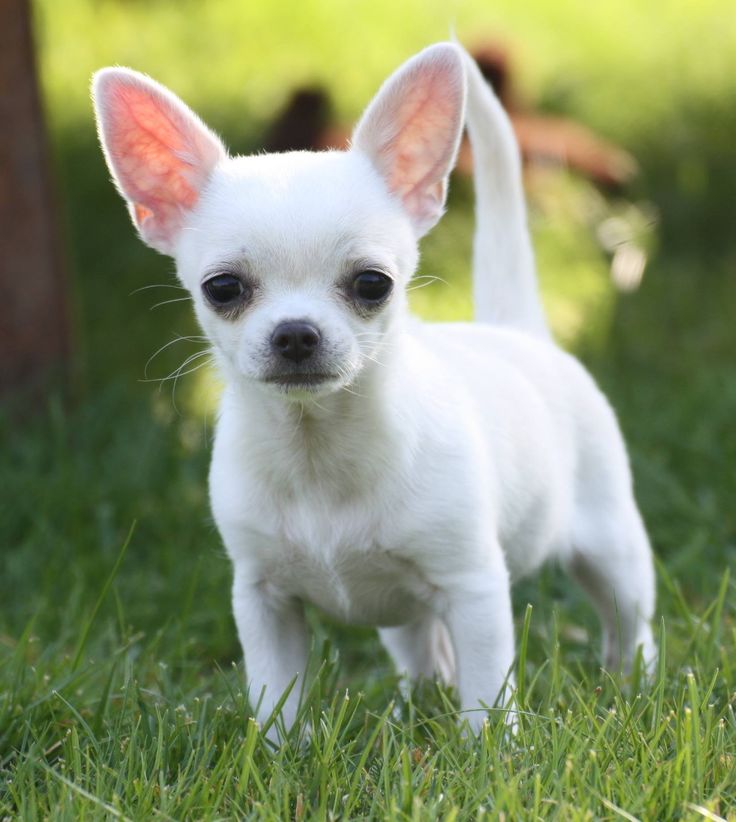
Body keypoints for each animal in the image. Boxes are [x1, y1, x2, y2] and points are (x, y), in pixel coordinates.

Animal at [92, 41, 656, 736]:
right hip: (409, 612)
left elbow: (487, 694)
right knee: (423, 649)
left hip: (612, 547)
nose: (296, 334)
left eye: (371, 284)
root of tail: (517, 329)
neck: (318, 452)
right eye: (222, 288)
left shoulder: (473, 586)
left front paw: (490, 751)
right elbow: (276, 696)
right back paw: (421, 700)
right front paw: (283, 753)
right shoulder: (262, 600)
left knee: (629, 624)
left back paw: (635, 687)